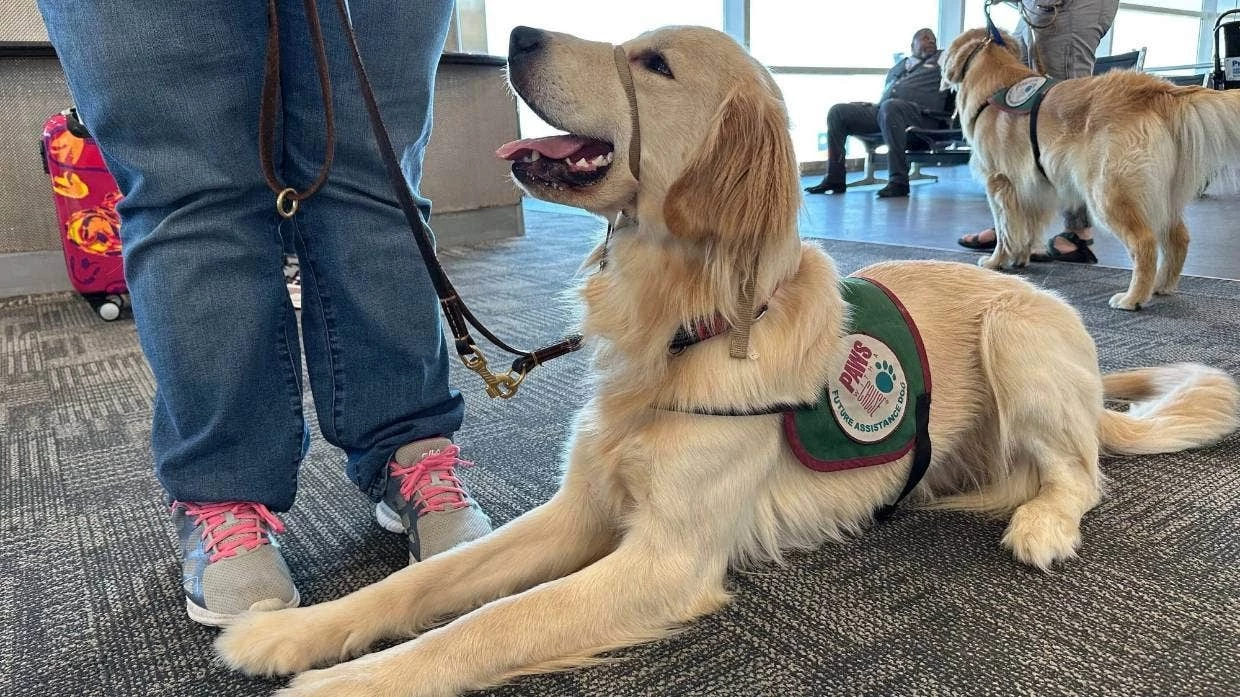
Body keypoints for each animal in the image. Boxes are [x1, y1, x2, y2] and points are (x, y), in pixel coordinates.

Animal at [937, 27, 1240, 308]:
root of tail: (1158, 90)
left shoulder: (1000, 182)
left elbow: (1005, 231)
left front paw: (996, 262)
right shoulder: (1033, 188)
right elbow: (1026, 227)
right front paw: (1020, 259)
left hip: (1108, 192)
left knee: (1145, 243)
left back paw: (1133, 298)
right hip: (1163, 195)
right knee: (1178, 239)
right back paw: (1161, 286)